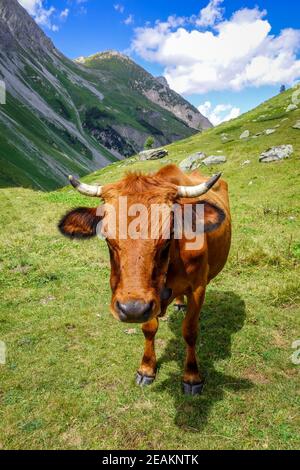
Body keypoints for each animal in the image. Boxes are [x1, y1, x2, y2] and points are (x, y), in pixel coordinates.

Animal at [59, 165, 232, 396]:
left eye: (169, 235)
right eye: (107, 238)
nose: (132, 309)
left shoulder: (198, 288)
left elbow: (190, 330)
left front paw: (192, 376)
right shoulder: (147, 300)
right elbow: (149, 329)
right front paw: (147, 369)